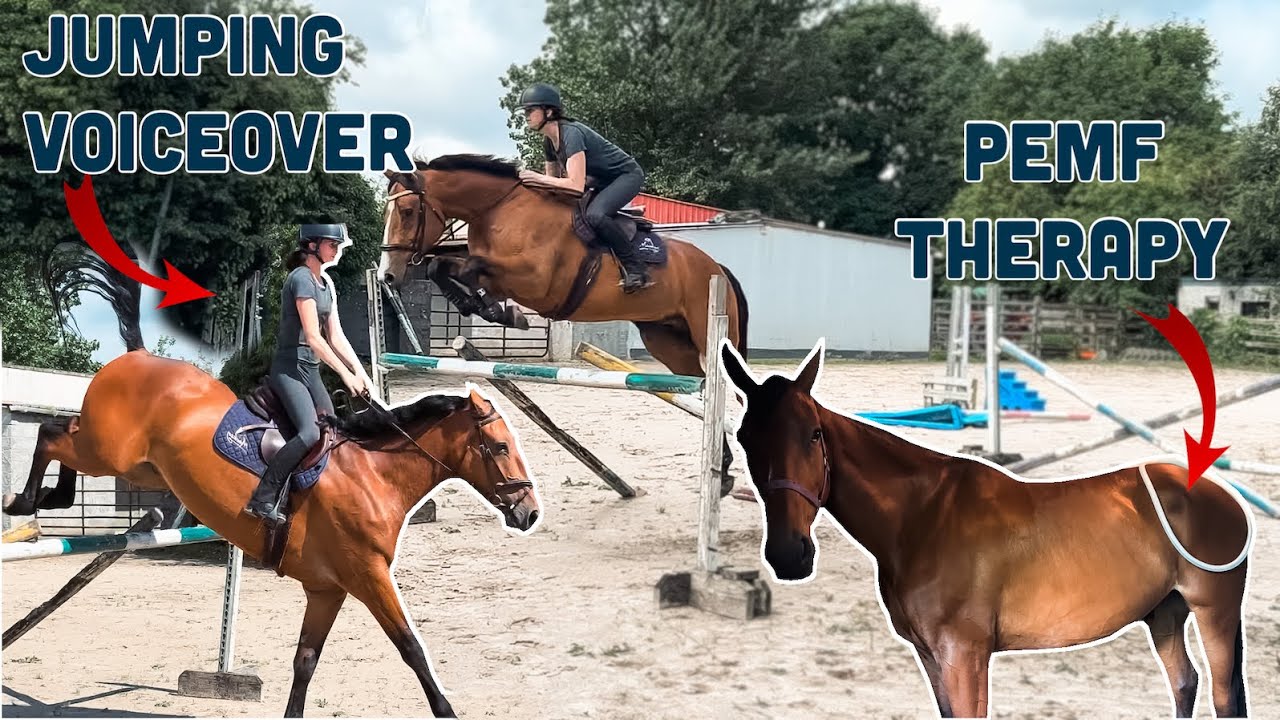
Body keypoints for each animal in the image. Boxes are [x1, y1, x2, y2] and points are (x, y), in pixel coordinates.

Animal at [3, 344, 543, 718]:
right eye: (499, 447)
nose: (529, 513)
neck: (374, 474)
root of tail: (131, 359)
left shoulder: (328, 589)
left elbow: (306, 661)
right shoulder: (368, 576)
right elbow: (411, 648)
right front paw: (446, 709)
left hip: (138, 468)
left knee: (62, 434)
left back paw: (49, 498)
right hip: (107, 451)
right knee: (52, 433)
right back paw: (28, 500)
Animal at [378, 154, 749, 494]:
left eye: (407, 211)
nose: (387, 275)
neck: (500, 209)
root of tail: (717, 267)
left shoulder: (535, 282)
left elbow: (464, 267)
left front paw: (503, 313)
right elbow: (441, 267)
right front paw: (485, 307)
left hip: (710, 335)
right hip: (667, 341)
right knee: (705, 389)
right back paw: (724, 471)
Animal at [719, 340, 1254, 719]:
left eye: (813, 434)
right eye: (743, 438)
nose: (789, 554)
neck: (923, 516)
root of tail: (1220, 494)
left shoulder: (966, 655)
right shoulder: (931, 656)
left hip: (1215, 612)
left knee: (1223, 699)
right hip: (1164, 613)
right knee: (1184, 683)